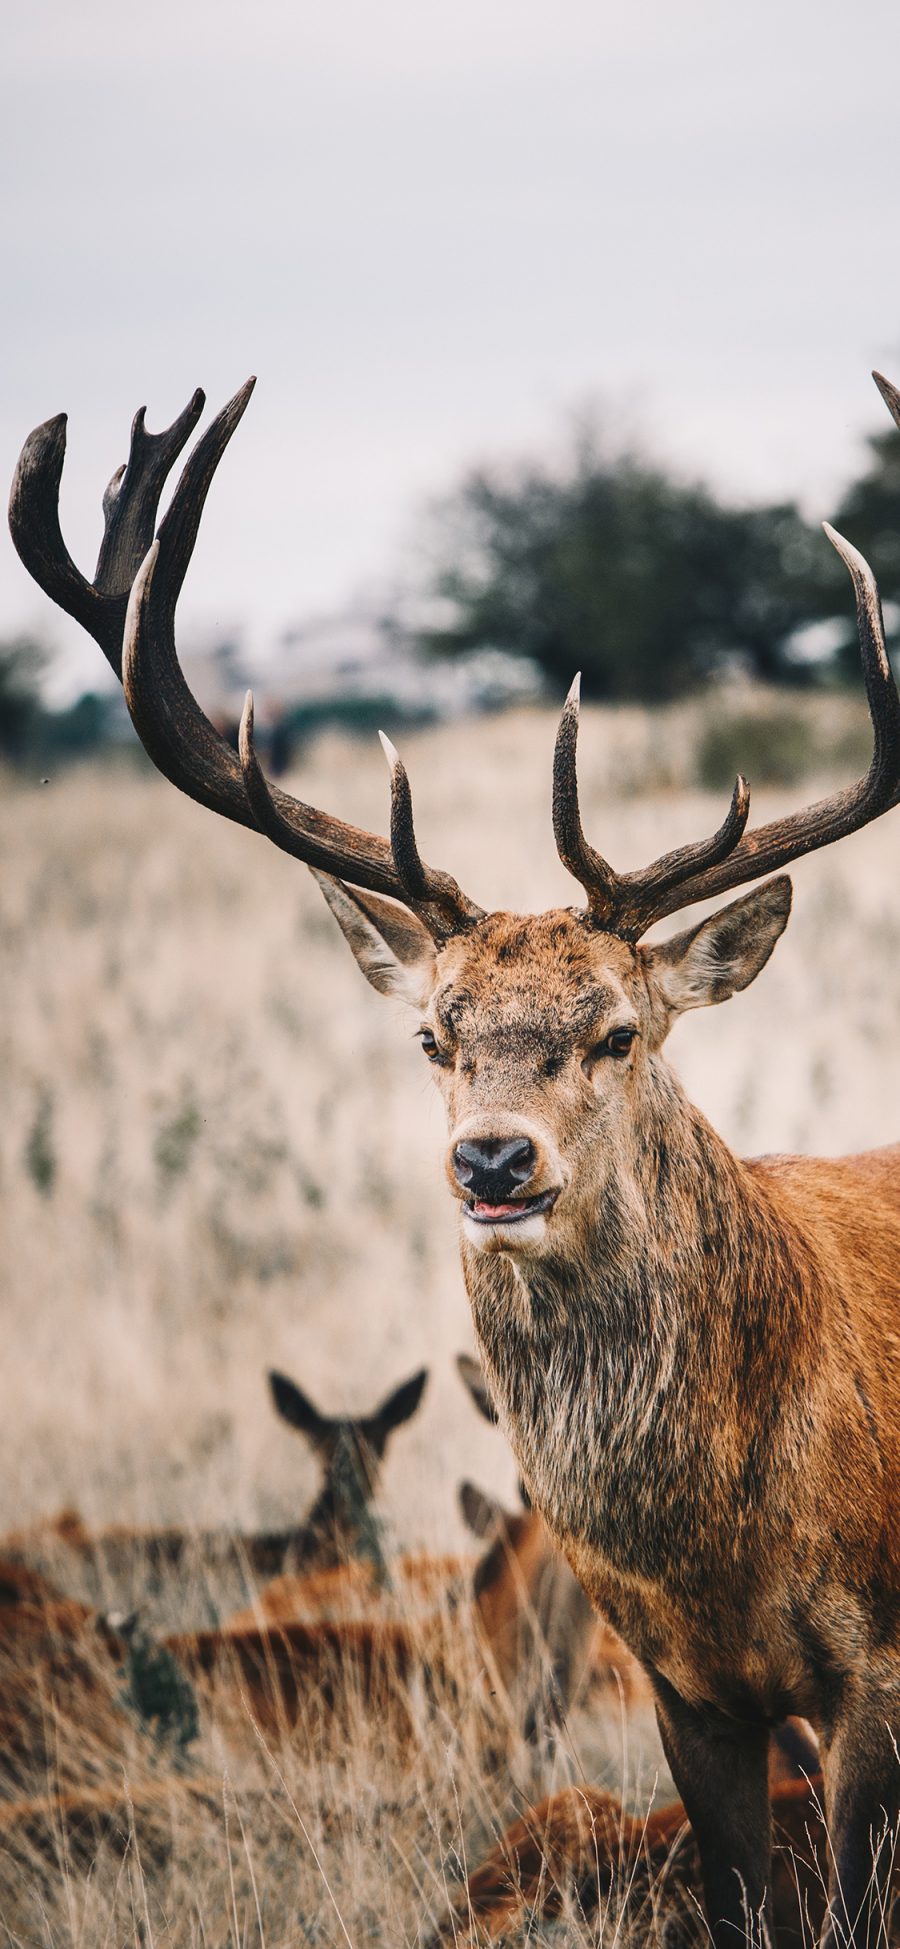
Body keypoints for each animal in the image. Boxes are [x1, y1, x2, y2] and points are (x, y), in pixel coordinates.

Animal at [10, 368, 900, 1949]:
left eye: (617, 1029)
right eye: (435, 1031)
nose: (493, 1161)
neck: (729, 1535)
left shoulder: (874, 1665)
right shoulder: (686, 1686)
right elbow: (744, 1899)